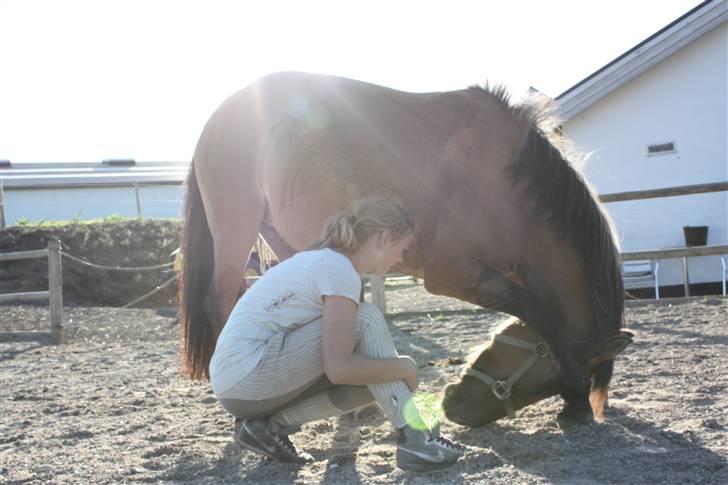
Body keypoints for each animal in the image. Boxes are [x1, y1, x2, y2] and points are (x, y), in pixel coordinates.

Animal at [179, 71, 628, 428]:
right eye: (548, 372)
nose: (453, 403)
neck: (507, 184)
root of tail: (220, 115)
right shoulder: (452, 273)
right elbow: (540, 309)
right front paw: (576, 397)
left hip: (287, 238)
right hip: (234, 228)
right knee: (222, 302)